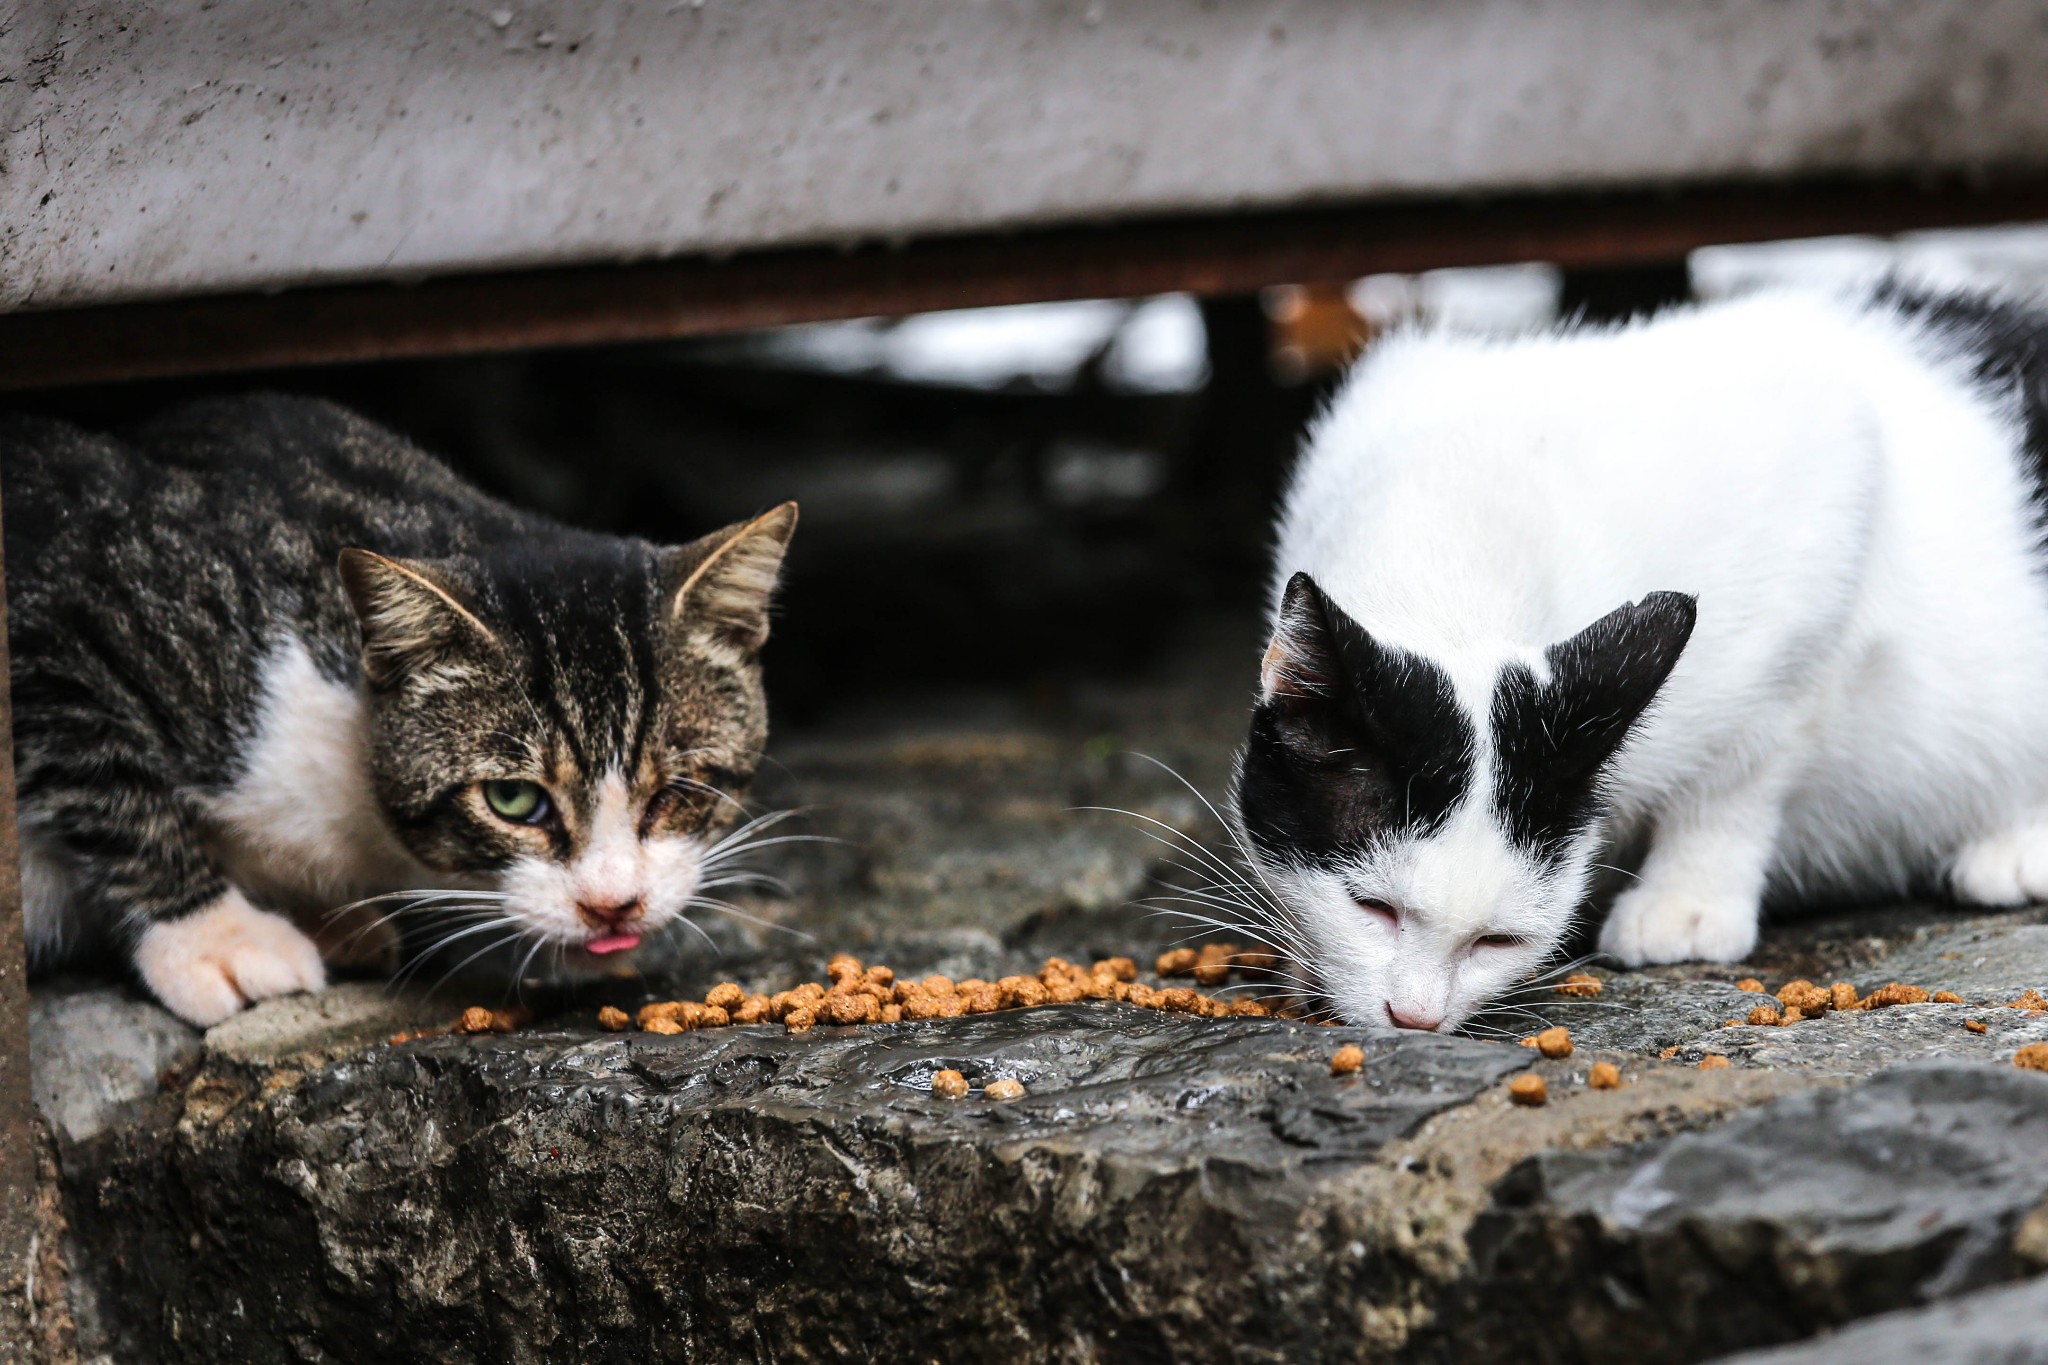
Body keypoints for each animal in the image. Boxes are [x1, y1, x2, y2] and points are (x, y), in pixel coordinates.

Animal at [1236, 290, 2048, 1035]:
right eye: (1370, 907)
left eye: (1497, 941)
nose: (1414, 1018)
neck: (1449, 550)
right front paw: (1305, 962)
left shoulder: (1830, 497)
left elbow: (1745, 764)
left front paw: (1687, 902)